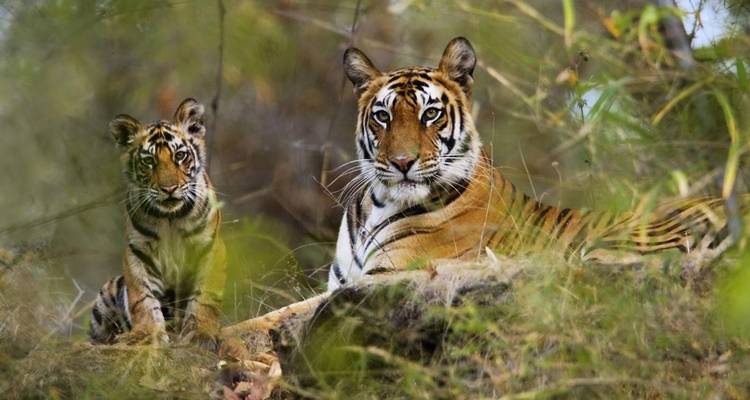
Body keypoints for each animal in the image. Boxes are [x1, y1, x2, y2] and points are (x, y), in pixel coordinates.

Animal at [90, 98, 226, 348]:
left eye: (180, 156)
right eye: (149, 161)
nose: (169, 188)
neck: (170, 218)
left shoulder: (210, 248)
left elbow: (205, 298)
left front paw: (200, 334)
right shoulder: (138, 252)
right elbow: (142, 299)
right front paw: (147, 334)